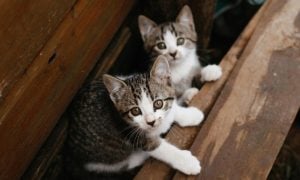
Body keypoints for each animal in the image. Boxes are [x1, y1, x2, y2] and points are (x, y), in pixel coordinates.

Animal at [65, 56, 204, 179]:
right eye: (135, 111)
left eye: (158, 103)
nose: (151, 122)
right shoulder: (129, 132)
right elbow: (159, 148)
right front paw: (186, 162)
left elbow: (172, 109)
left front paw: (190, 115)